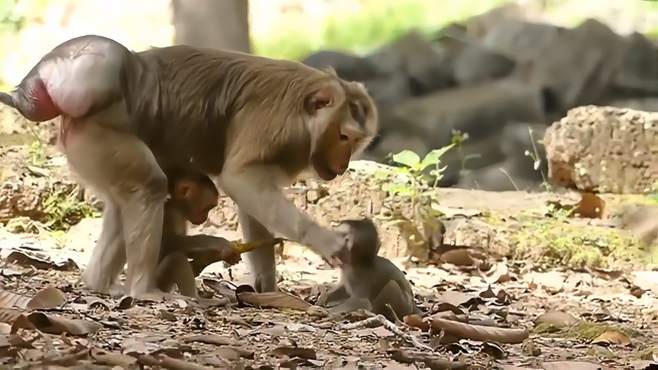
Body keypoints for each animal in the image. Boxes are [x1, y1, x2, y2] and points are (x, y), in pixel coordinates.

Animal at [0, 33, 376, 296]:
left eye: (356, 142)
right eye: (343, 136)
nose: (343, 165)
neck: (303, 112)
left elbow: (252, 201)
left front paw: (267, 285)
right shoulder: (274, 127)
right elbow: (240, 180)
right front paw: (324, 241)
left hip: (89, 146)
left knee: (122, 205)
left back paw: (98, 284)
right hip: (98, 137)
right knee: (149, 186)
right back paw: (143, 290)